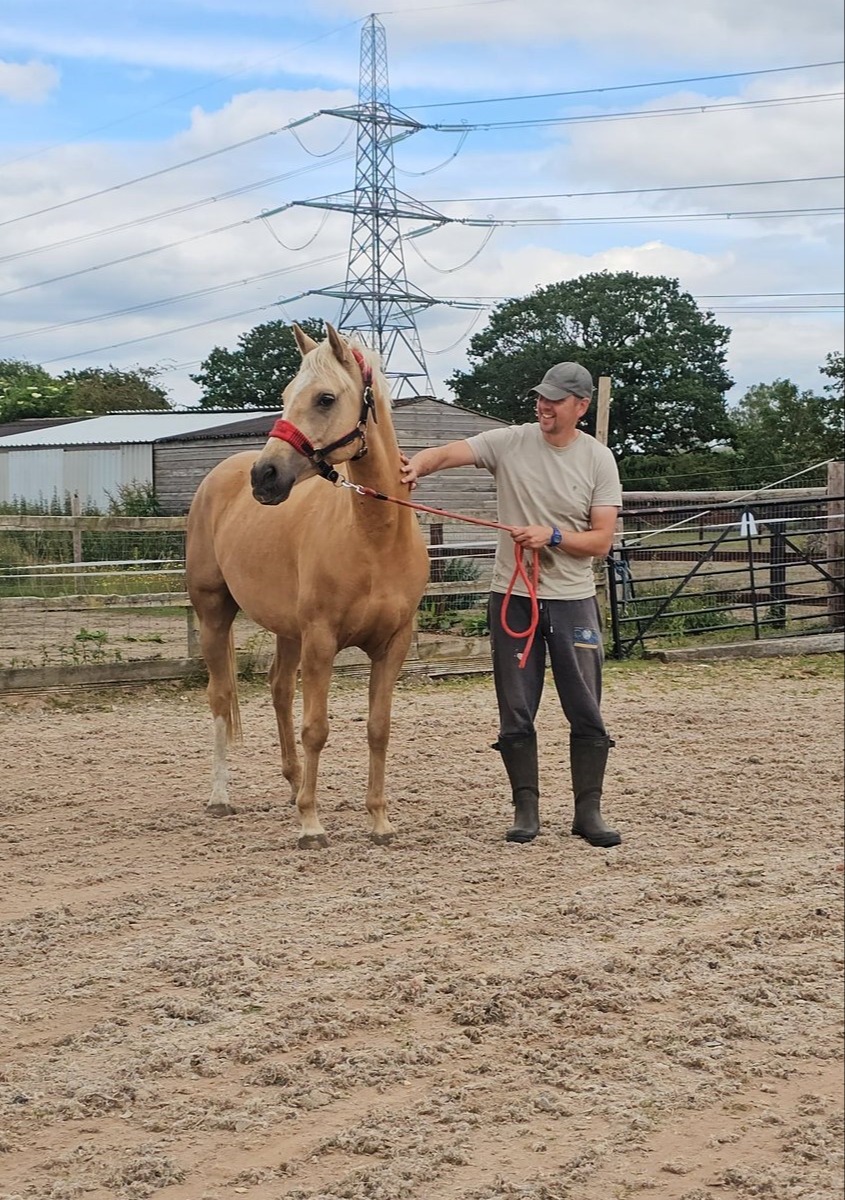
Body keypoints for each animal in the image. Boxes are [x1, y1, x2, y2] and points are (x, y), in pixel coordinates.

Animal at [185, 323, 430, 848]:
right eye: (284, 395)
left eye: (324, 398)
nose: (266, 476)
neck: (374, 539)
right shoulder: (321, 640)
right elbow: (315, 727)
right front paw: (312, 825)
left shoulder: (393, 645)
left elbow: (378, 728)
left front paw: (378, 821)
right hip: (214, 613)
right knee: (221, 697)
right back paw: (221, 797)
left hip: (287, 630)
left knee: (279, 688)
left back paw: (295, 784)